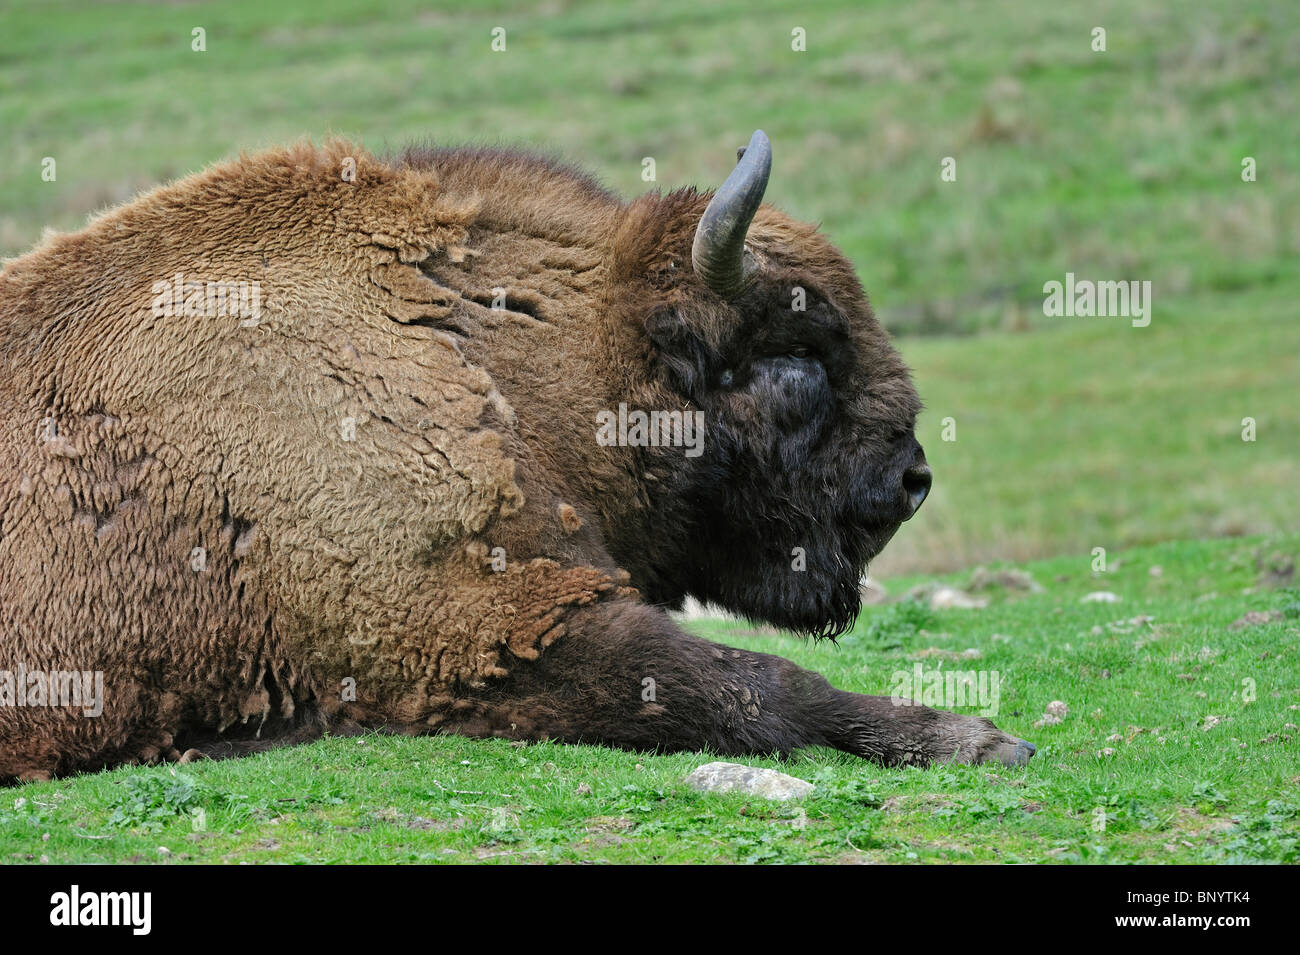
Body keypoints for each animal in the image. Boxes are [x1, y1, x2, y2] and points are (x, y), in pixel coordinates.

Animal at [2, 130, 1034, 779]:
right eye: (796, 354)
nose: (911, 479)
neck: (490, 358)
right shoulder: (486, 636)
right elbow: (762, 688)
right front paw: (977, 739)